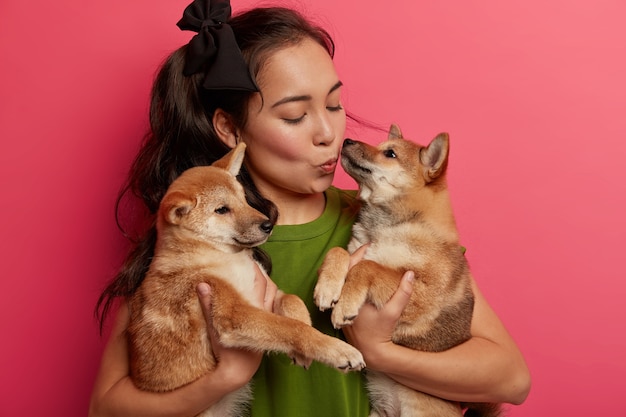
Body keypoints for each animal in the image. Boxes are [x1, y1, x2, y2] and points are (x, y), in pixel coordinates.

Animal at [128, 144, 366, 416]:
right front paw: (335, 349)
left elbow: (293, 302)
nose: (268, 224)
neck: (220, 256)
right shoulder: (234, 313)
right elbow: (292, 329)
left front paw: (303, 339)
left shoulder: (268, 291)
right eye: (222, 209)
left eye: (244, 198)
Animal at [314, 125, 500, 416]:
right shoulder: (356, 250)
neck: (390, 227)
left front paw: (345, 306)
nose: (347, 141)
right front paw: (327, 288)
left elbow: (368, 267)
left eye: (390, 154)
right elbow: (339, 252)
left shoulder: (420, 293)